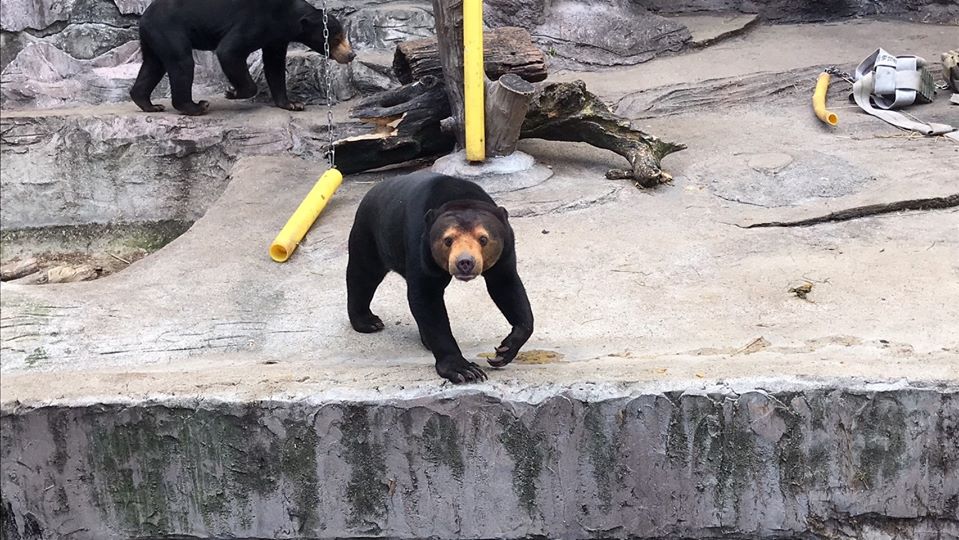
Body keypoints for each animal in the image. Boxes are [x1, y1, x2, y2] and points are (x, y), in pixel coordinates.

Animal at [127, 0, 352, 115]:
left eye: (344, 35)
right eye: (336, 38)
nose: (350, 54)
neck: (288, 18)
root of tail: (143, 18)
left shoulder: (277, 36)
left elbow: (275, 64)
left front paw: (292, 104)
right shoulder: (257, 21)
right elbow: (229, 50)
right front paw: (232, 92)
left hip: (155, 38)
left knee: (153, 65)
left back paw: (149, 104)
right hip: (170, 29)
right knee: (182, 63)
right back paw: (197, 106)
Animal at [348, 171, 536, 382]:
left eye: (483, 239)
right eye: (448, 240)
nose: (465, 262)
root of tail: (372, 190)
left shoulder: (505, 249)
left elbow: (506, 286)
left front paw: (504, 351)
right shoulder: (421, 244)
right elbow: (427, 298)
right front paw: (465, 370)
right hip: (370, 233)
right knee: (363, 274)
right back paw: (368, 322)